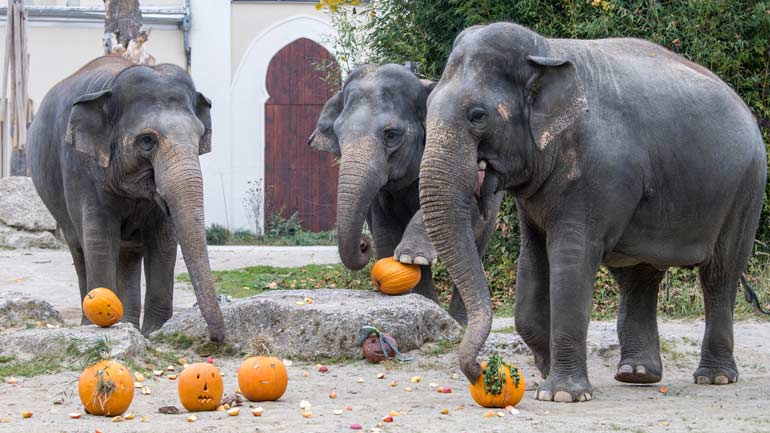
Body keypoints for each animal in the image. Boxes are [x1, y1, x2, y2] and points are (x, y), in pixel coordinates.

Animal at [27, 55, 224, 340]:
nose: (216, 338)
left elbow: (163, 241)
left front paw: (154, 333)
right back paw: (94, 323)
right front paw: (100, 325)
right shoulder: (80, 168)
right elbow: (99, 238)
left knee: (129, 255)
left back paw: (129, 324)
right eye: (147, 140)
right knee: (79, 249)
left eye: (199, 137)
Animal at [308, 62, 500, 322]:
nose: (363, 244)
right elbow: (384, 229)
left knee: (476, 247)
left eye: (391, 134)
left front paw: (412, 255)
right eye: (338, 134)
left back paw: (458, 321)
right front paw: (403, 263)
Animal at [416, 22, 764, 402]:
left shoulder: (596, 174)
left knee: (719, 272)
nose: (480, 371)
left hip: (745, 189)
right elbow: (532, 264)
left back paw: (714, 377)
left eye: (478, 116)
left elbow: (572, 260)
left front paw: (561, 394)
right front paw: (546, 370)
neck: (546, 51)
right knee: (639, 276)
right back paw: (637, 374)